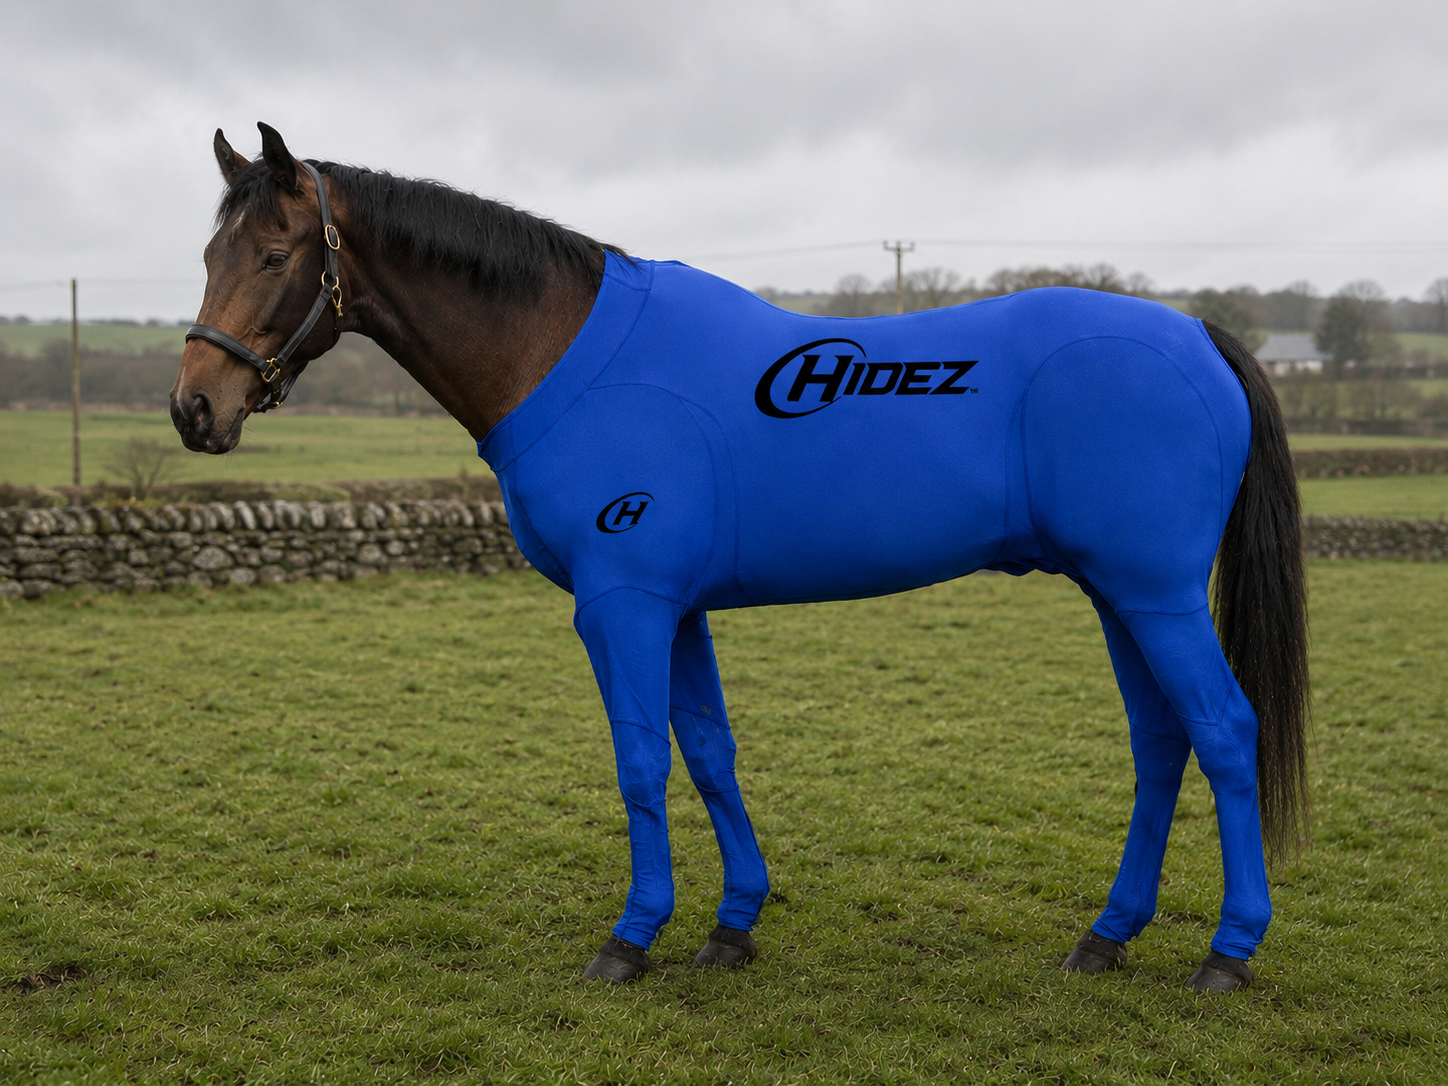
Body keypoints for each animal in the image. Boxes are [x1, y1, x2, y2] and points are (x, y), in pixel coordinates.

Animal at [173, 123, 1309, 993]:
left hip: (1155, 595)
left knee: (1223, 732)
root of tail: (1196, 334)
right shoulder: (677, 609)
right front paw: (731, 927)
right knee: (1160, 744)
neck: (565, 353)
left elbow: (640, 762)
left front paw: (629, 941)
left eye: (273, 258)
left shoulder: (622, 603)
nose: (195, 410)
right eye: (208, 259)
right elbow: (709, 754)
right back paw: (1105, 938)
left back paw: (1227, 952)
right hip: (1121, 595)